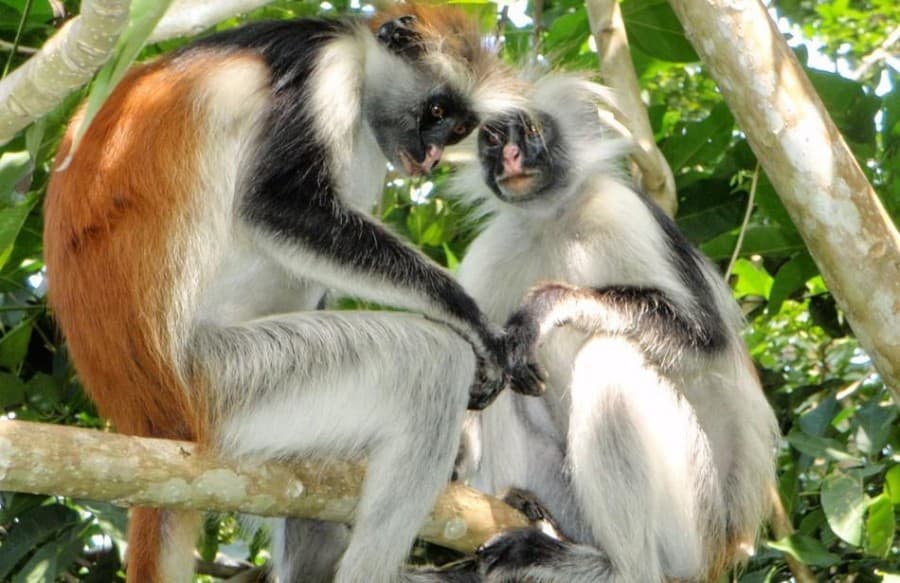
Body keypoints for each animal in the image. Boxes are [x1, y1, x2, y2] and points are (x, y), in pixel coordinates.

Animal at [44, 5, 540, 583]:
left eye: (458, 126)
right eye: (435, 111)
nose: (434, 155)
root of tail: (147, 417)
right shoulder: (324, 68)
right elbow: (280, 203)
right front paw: (475, 324)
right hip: (227, 379)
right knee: (431, 364)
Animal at [454, 75, 784, 580]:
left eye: (531, 131)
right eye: (491, 139)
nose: (508, 157)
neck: (552, 220)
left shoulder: (623, 210)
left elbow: (706, 341)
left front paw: (551, 304)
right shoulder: (492, 250)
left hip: (693, 520)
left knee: (610, 358)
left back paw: (618, 567)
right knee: (507, 378)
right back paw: (530, 511)